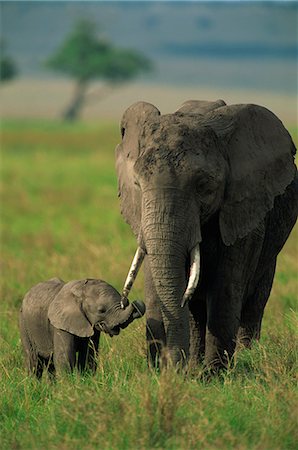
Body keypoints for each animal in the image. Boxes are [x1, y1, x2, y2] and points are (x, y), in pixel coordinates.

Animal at [18, 278, 146, 376]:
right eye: (101, 310)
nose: (133, 302)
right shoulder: (60, 324)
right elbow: (65, 358)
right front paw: (67, 389)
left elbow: (88, 357)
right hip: (24, 324)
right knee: (33, 361)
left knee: (50, 365)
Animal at [115, 100, 296, 370]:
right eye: (137, 184)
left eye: (203, 186)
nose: (129, 304)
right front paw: (175, 372)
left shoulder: (242, 212)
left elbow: (224, 292)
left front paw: (215, 374)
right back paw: (194, 366)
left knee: (254, 302)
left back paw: (245, 358)